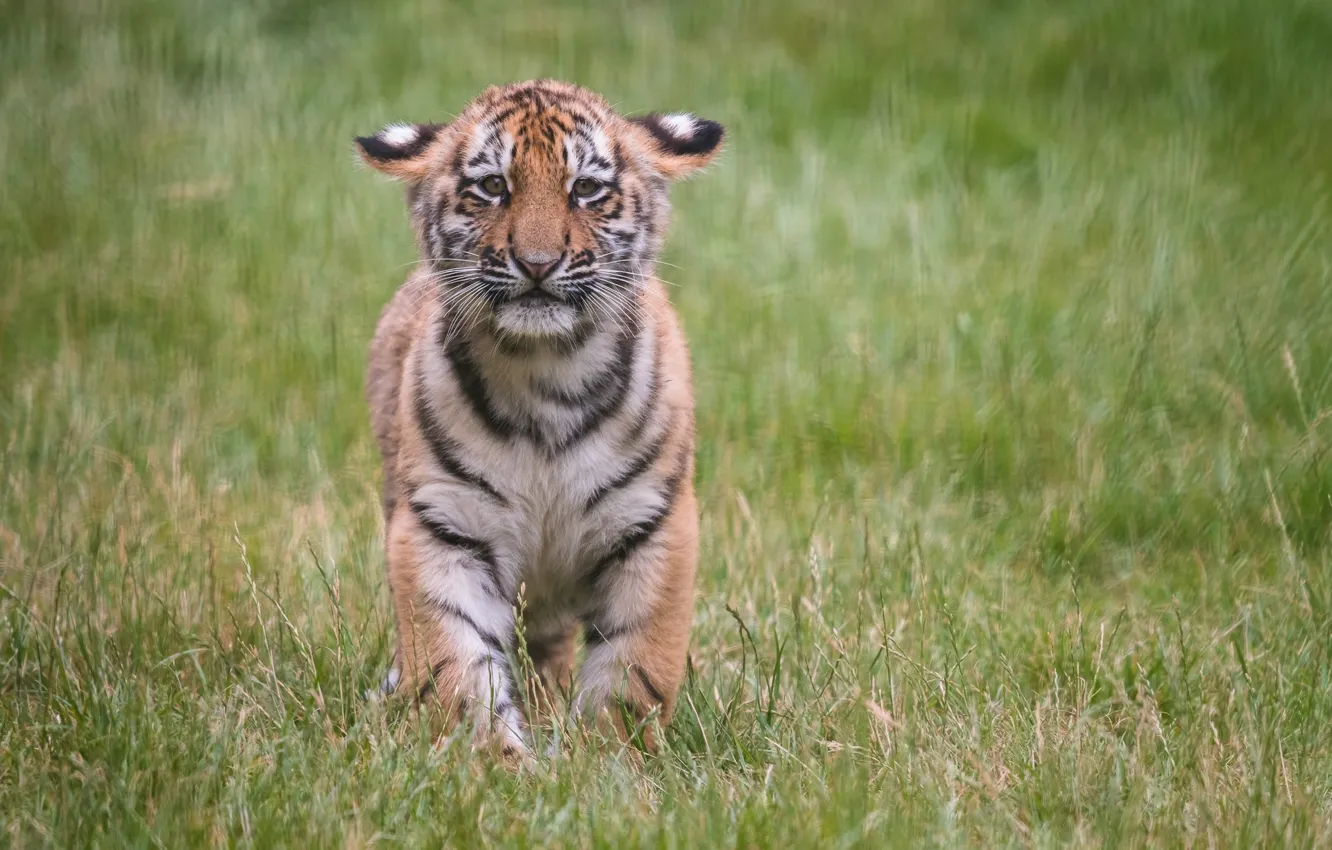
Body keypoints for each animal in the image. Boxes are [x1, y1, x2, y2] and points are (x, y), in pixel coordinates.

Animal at [355, 79, 723, 757]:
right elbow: (455, 664)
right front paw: (492, 761)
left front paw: (609, 759)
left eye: (586, 189)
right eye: (492, 186)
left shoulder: (655, 522)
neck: (545, 371)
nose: (537, 262)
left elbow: (636, 664)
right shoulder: (442, 524)